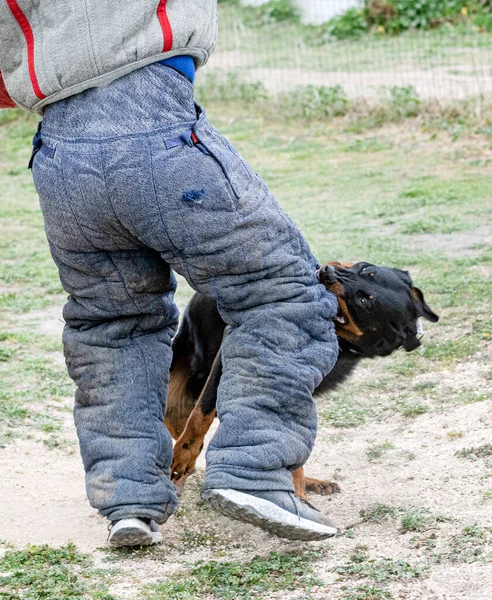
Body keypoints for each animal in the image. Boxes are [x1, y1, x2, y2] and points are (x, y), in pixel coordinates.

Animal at [165, 262, 438, 496]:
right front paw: (185, 453)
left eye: (364, 301)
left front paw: (299, 489)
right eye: (363, 268)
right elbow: (201, 413)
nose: (327, 271)